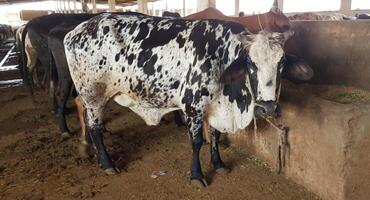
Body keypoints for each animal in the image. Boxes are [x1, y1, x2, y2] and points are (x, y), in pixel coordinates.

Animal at [63, 13, 290, 187]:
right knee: (95, 127)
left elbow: (215, 136)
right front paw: (197, 175)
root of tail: (76, 31)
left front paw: (218, 164)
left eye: (281, 63)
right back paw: (107, 163)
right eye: (251, 63)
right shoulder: (193, 106)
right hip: (93, 94)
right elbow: (196, 142)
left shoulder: (214, 107)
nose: (268, 109)